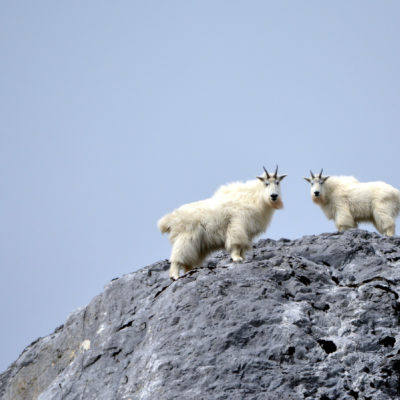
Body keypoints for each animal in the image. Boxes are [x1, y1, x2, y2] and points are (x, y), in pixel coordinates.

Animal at [158, 166, 286, 278]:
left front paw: (243, 258)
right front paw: (237, 258)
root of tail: (170, 219)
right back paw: (175, 276)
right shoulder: (237, 224)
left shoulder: (247, 232)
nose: (274, 196)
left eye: (277, 182)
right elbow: (236, 243)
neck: (254, 198)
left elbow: (242, 247)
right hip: (185, 237)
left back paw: (189, 271)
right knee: (178, 257)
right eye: (266, 183)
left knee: (188, 260)